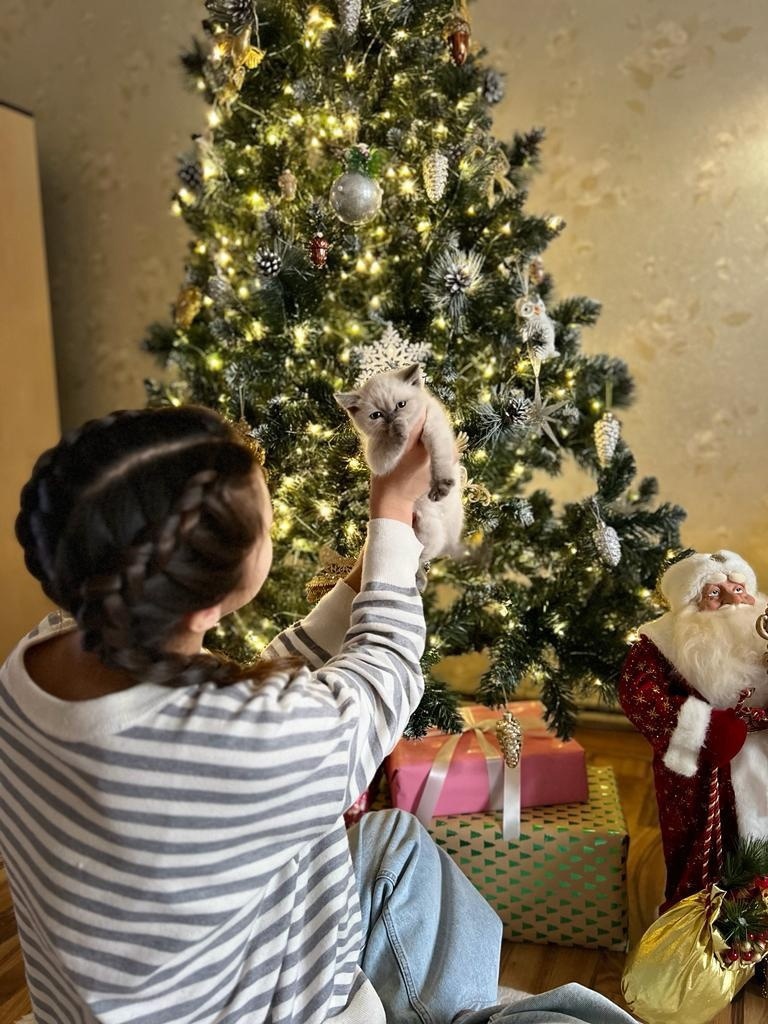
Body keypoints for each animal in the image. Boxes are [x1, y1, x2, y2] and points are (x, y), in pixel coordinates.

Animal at [335, 364, 466, 565]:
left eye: (401, 405)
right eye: (376, 415)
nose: (391, 418)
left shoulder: (434, 428)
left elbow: (438, 456)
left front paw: (440, 485)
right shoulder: (377, 460)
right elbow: (390, 448)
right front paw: (398, 432)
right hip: (431, 530)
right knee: (421, 553)